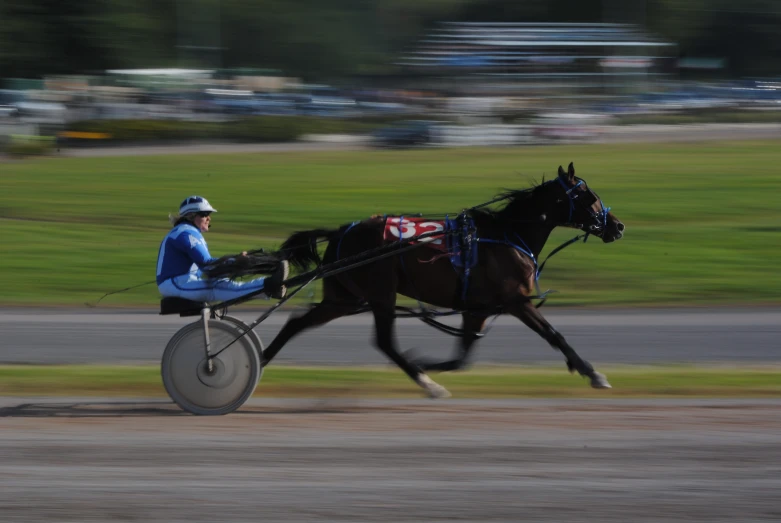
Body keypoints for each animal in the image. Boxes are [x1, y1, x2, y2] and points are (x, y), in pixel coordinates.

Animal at [266, 163, 624, 398]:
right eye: (587, 194)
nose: (617, 226)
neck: (508, 236)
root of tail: (341, 231)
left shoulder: (477, 309)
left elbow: (461, 358)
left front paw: (429, 362)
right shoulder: (516, 300)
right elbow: (553, 334)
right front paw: (593, 373)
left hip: (345, 297)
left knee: (297, 323)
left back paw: (264, 357)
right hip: (380, 294)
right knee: (384, 342)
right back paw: (428, 384)